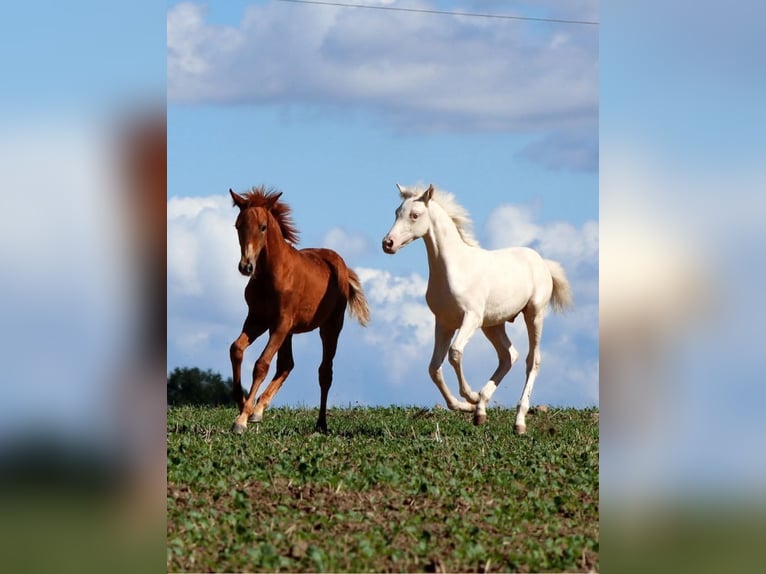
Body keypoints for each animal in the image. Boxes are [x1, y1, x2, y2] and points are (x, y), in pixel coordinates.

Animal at [228, 186, 370, 434]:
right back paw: (259, 409)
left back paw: (321, 424)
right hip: (288, 332)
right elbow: (236, 349)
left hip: (330, 327)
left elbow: (261, 365)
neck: (271, 274)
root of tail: (342, 266)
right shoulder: (257, 320)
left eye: (263, 227)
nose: (246, 266)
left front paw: (242, 418)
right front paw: (242, 404)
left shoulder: (280, 323)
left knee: (325, 372)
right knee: (287, 364)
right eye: (238, 226)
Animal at [382, 184, 573, 433]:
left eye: (415, 215)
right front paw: (466, 406)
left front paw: (470, 397)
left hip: (534, 314)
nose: (388, 243)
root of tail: (543, 263)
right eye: (396, 212)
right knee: (508, 356)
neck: (454, 268)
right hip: (493, 325)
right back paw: (481, 410)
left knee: (532, 360)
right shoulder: (443, 323)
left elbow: (455, 353)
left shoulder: (470, 318)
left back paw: (518, 421)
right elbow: (434, 368)